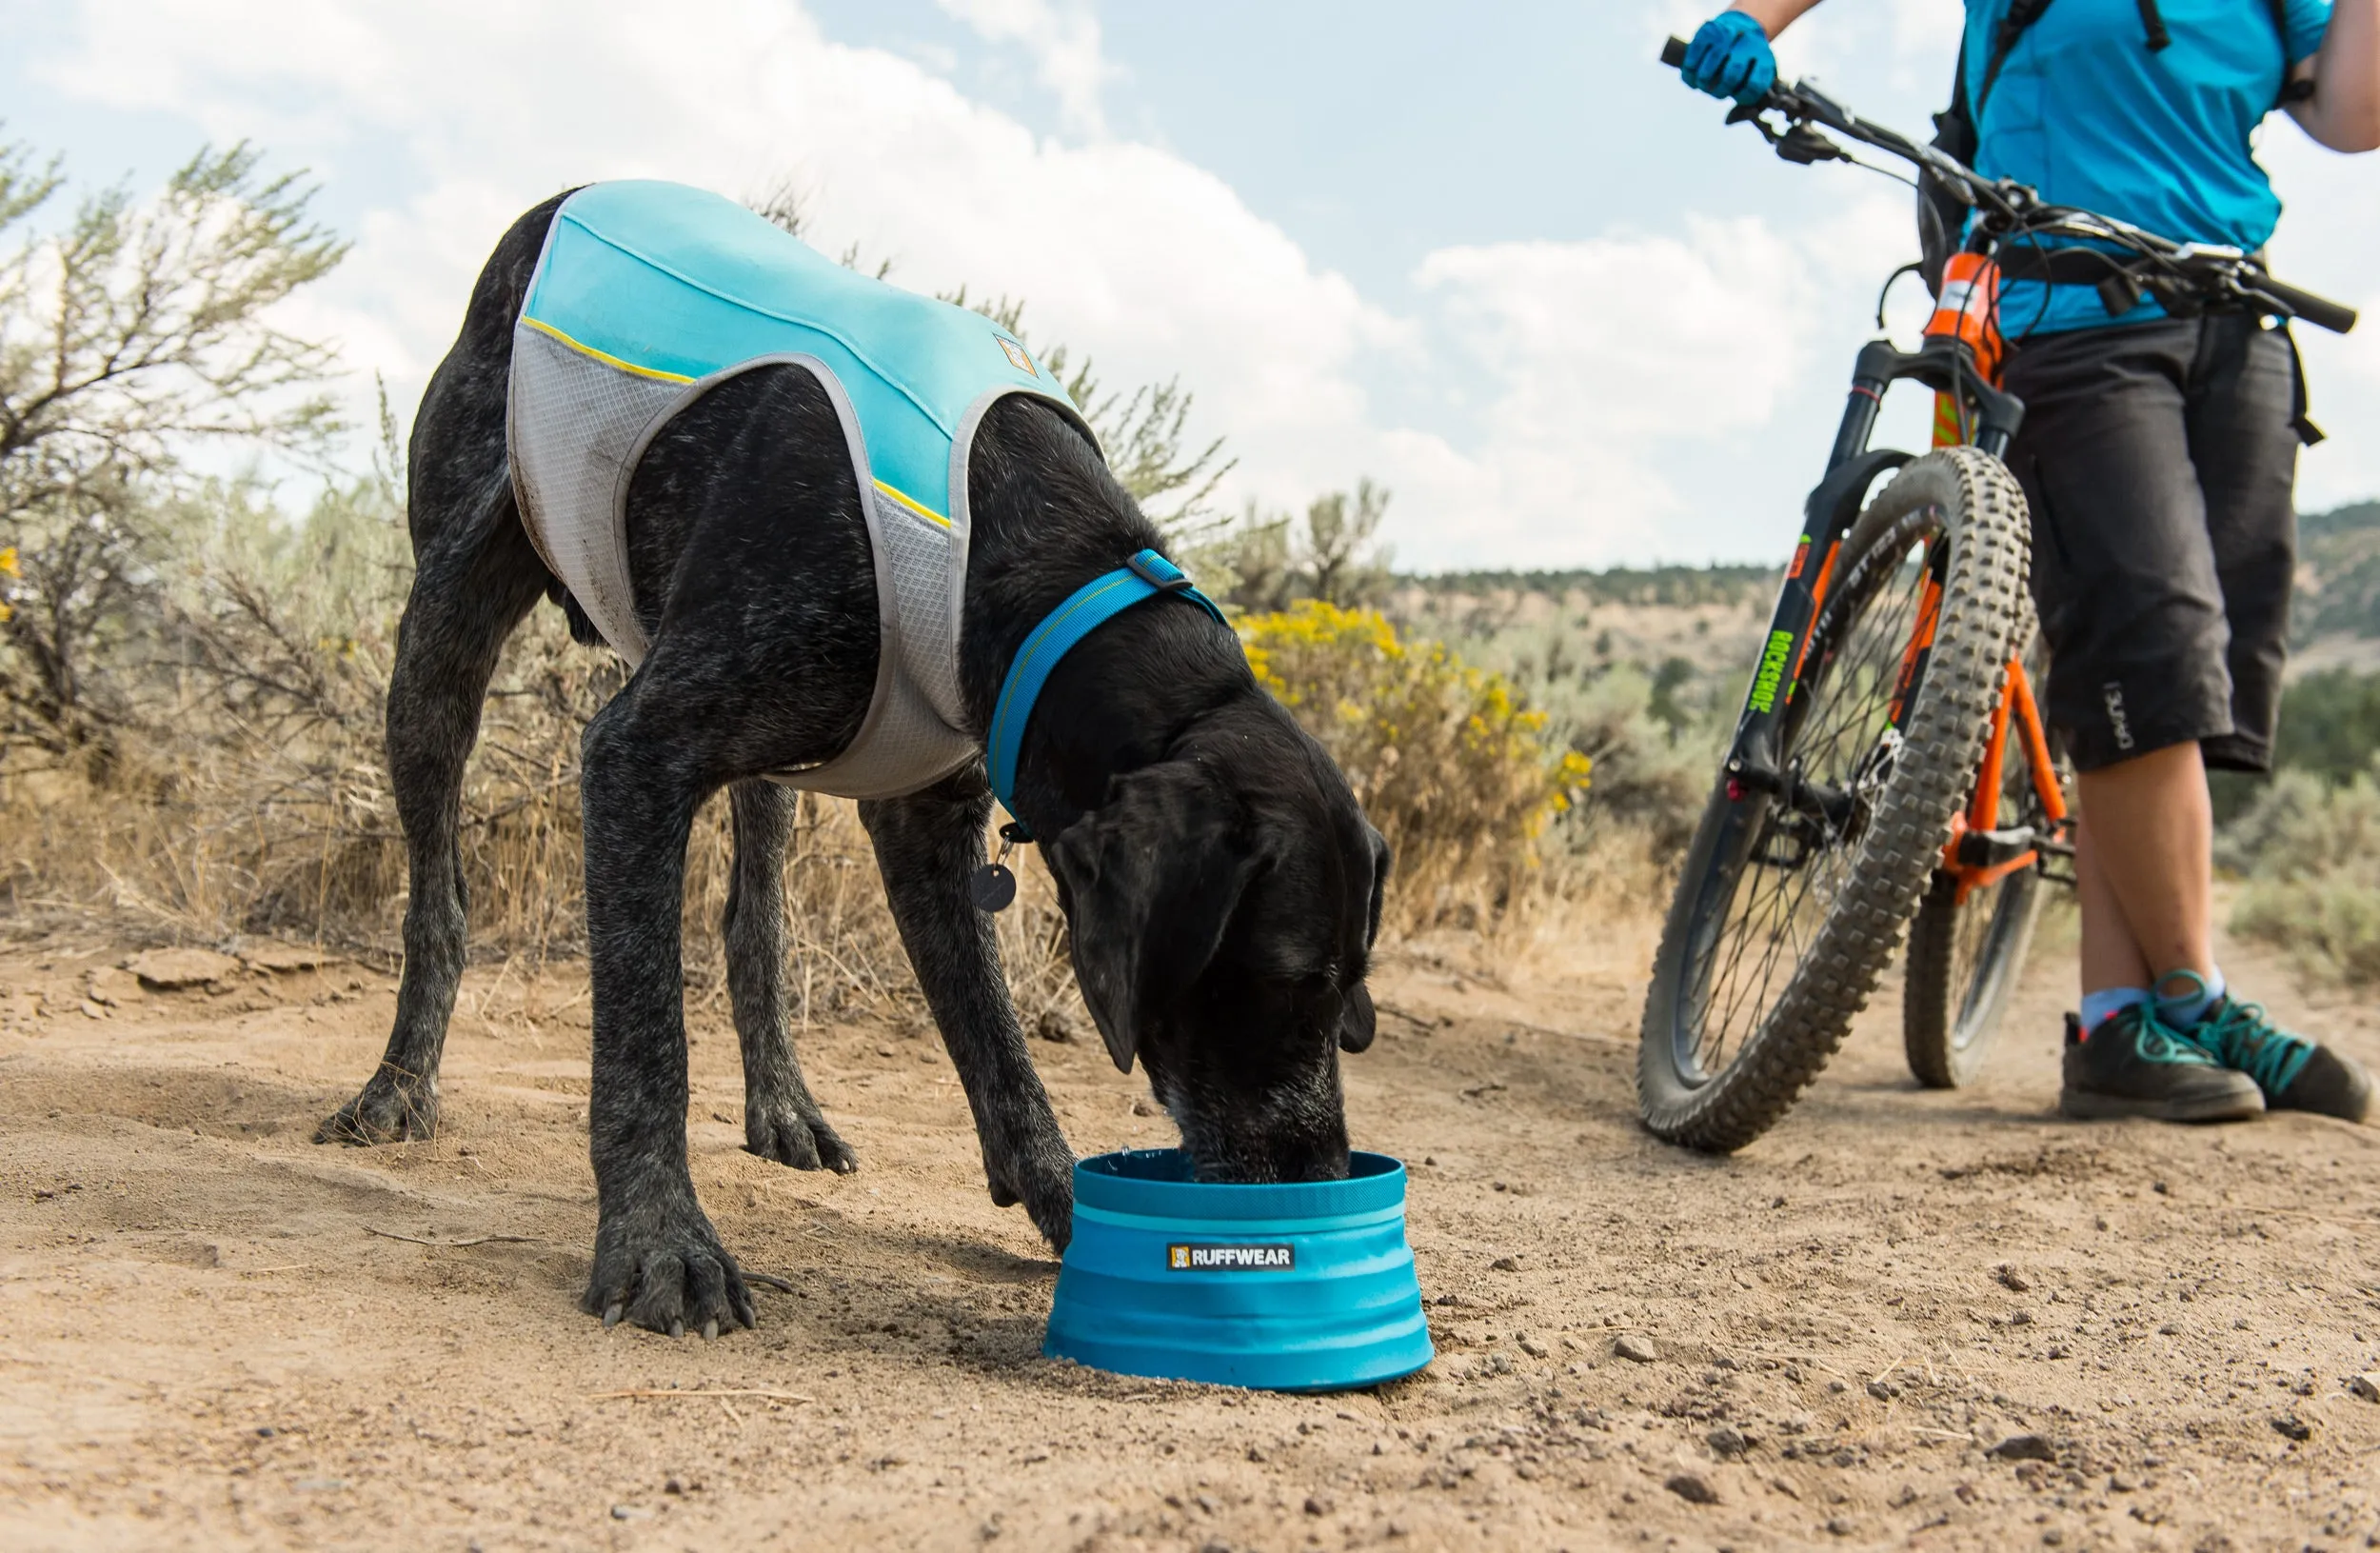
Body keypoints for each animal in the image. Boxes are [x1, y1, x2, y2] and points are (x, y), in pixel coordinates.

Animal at [319, 190, 1390, 1333]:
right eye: (1284, 980)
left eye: (1349, 997)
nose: (1324, 1176)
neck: (1030, 552)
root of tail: (565, 199)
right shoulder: (636, 756)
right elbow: (646, 1040)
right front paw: (659, 1239)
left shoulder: (926, 818)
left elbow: (998, 1045)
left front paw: (1066, 1204)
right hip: (443, 633)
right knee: (440, 895)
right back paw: (398, 1086)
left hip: (766, 755)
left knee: (754, 923)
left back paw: (784, 1103)